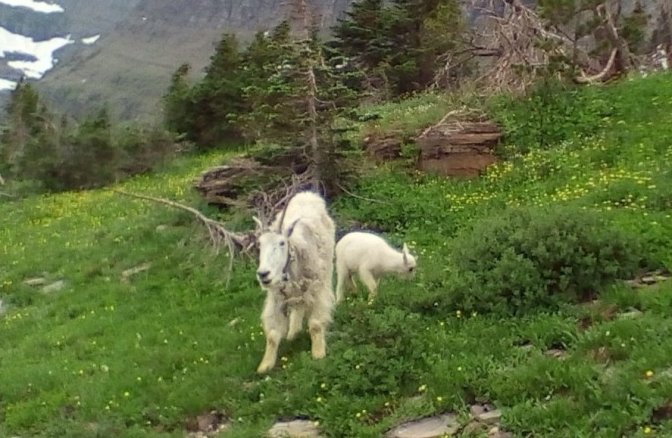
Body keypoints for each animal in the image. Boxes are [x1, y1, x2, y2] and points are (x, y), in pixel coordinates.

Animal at [253, 191, 336, 373]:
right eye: (259, 245)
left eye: (282, 242)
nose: (263, 274)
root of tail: (307, 194)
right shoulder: (276, 297)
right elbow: (272, 335)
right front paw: (265, 365)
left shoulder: (317, 287)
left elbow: (316, 324)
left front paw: (318, 352)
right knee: (298, 305)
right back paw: (293, 331)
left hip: (326, 267)